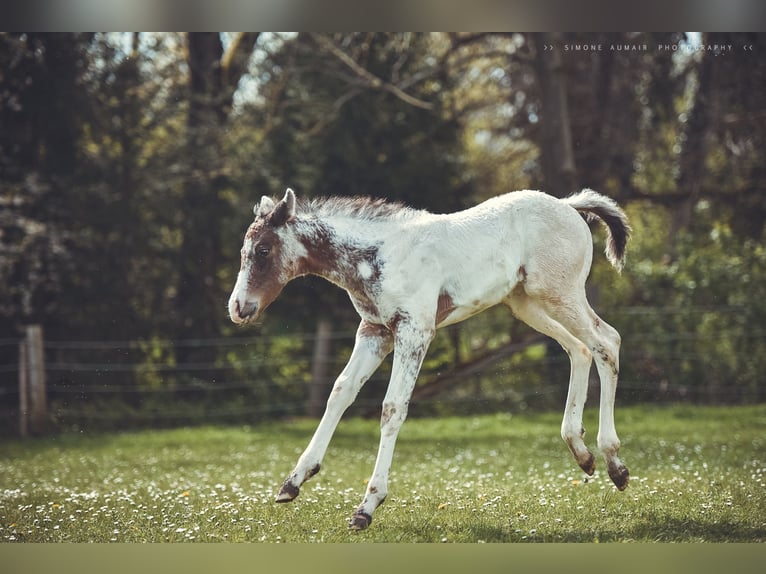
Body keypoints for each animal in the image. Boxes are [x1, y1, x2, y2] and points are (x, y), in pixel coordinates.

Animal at [228, 187, 631, 530]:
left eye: (262, 250)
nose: (238, 308)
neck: (379, 254)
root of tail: (568, 205)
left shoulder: (415, 331)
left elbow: (392, 408)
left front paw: (367, 507)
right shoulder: (374, 331)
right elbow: (340, 393)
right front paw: (293, 482)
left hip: (559, 294)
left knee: (606, 342)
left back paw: (615, 463)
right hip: (526, 302)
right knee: (578, 349)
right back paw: (582, 453)